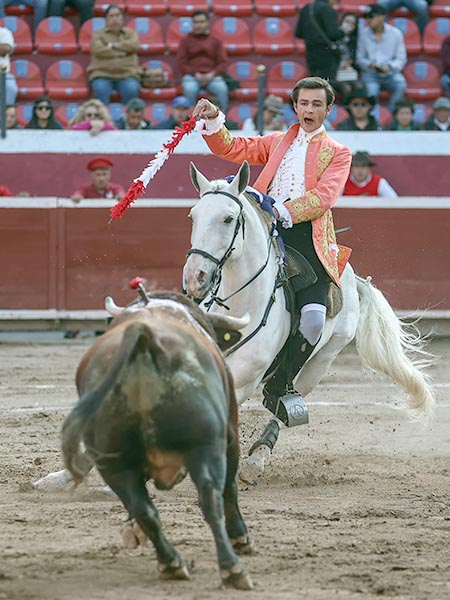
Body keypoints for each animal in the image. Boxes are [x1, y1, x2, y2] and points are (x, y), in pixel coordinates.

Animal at [60, 290, 253, 592]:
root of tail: (144, 338)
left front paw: (132, 532)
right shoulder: (229, 433)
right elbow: (230, 489)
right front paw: (241, 538)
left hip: (112, 463)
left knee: (144, 510)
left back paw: (170, 563)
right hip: (206, 446)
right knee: (211, 498)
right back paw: (232, 568)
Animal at [183, 162, 436, 486]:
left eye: (228, 218)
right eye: (193, 216)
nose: (195, 277)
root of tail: (351, 279)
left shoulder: (243, 378)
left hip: (322, 360)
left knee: (283, 406)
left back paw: (256, 460)